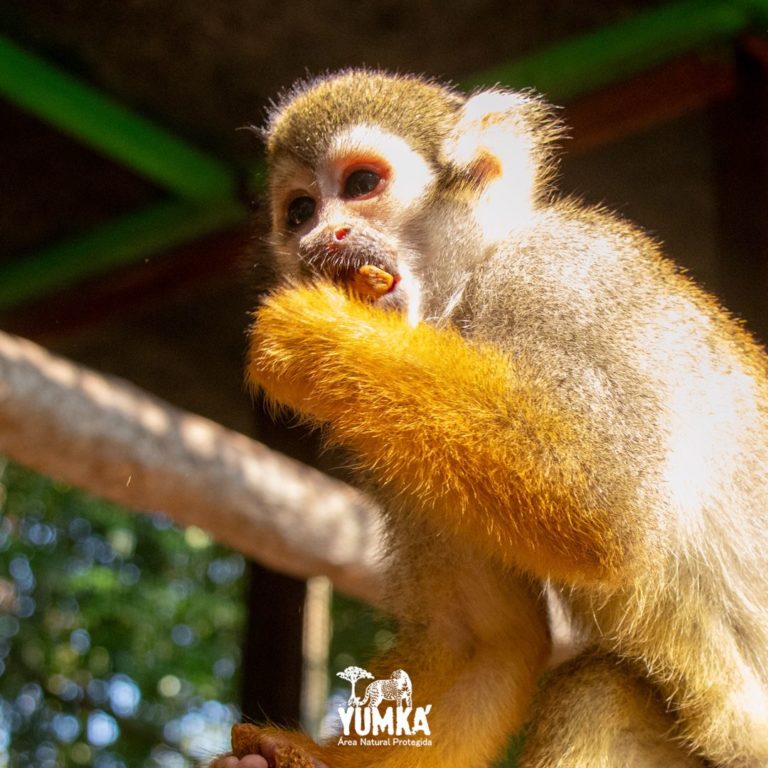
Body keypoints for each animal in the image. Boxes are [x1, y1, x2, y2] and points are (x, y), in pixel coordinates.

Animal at [213, 72, 768, 768]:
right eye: (299, 212)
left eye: (362, 184)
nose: (320, 239)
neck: (464, 296)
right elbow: (487, 642)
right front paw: (300, 755)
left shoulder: (562, 277)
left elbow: (608, 505)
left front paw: (321, 337)